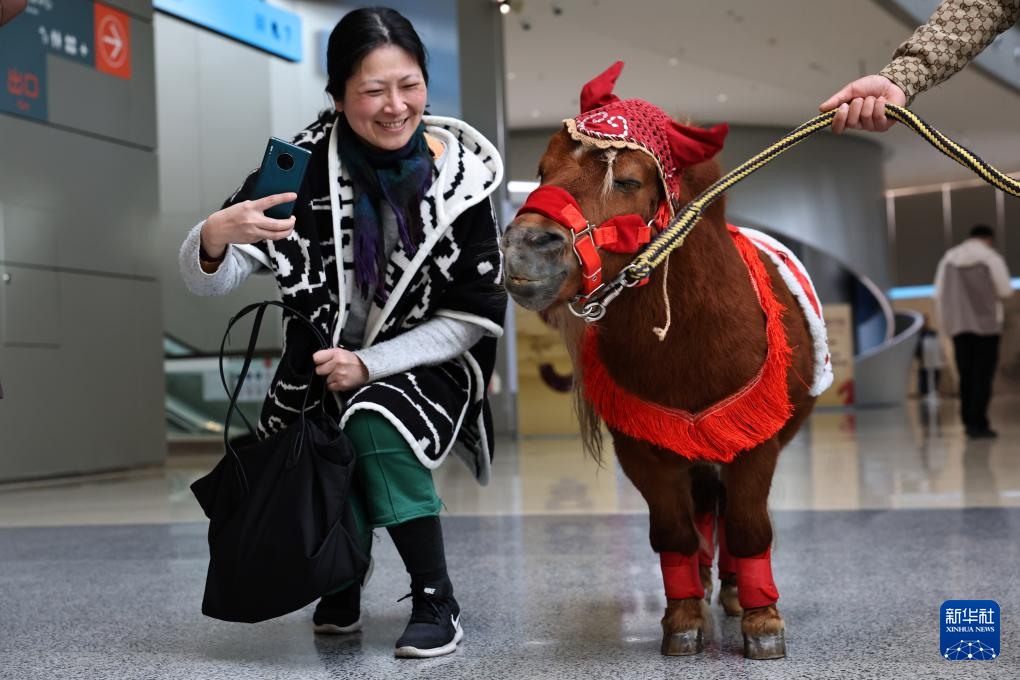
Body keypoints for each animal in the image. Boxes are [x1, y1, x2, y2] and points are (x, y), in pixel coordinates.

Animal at [500, 63, 827, 660]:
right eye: (541, 170)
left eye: (627, 181)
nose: (524, 247)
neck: (689, 337)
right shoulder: (644, 449)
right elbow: (673, 532)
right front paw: (683, 616)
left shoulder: (754, 443)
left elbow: (749, 526)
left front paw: (762, 619)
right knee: (701, 512)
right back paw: (702, 579)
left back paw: (735, 590)